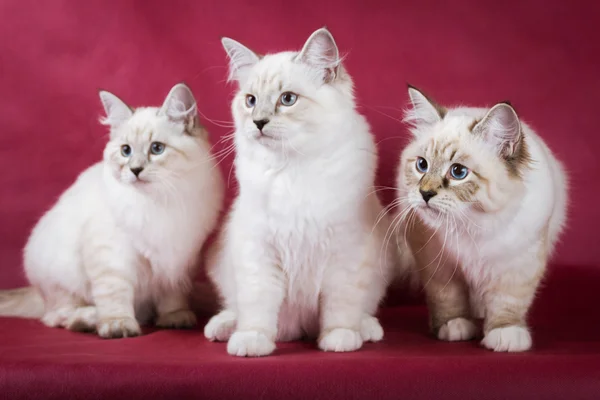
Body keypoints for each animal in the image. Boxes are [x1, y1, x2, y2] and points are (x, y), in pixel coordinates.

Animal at [0, 83, 224, 338]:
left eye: (156, 149)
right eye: (126, 151)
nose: (135, 170)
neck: (161, 200)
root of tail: (38, 293)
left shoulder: (179, 257)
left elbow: (172, 294)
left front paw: (174, 317)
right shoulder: (111, 253)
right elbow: (115, 293)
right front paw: (118, 325)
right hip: (59, 275)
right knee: (56, 316)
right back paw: (88, 319)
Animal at [204, 28, 400, 360]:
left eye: (288, 100)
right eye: (250, 101)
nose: (258, 122)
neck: (292, 167)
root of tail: (300, 330)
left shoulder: (346, 251)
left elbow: (339, 307)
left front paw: (338, 338)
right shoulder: (259, 250)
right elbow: (258, 307)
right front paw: (253, 341)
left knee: (360, 310)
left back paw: (365, 329)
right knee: (236, 308)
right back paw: (224, 327)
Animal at [398, 86, 568, 352]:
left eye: (458, 172)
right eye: (422, 165)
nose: (424, 193)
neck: (473, 224)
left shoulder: (519, 264)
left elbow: (508, 303)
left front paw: (504, 334)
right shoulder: (436, 262)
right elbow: (447, 298)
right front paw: (454, 326)